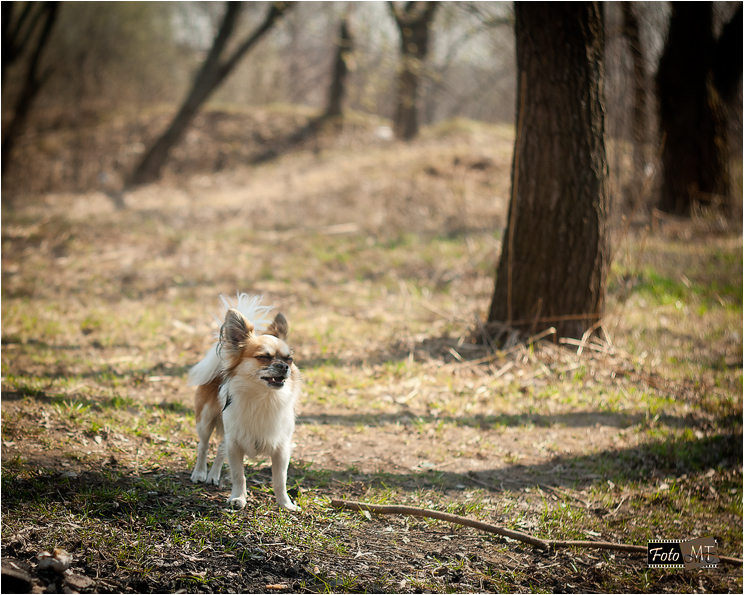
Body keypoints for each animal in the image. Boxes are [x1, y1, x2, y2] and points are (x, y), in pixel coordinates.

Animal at [187, 296, 300, 510]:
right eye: (263, 357)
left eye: (289, 359)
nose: (284, 366)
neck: (263, 397)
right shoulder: (235, 444)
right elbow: (239, 475)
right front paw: (238, 498)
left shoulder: (281, 449)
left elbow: (280, 479)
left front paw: (285, 504)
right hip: (205, 420)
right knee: (203, 445)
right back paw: (200, 473)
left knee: (219, 450)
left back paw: (213, 475)